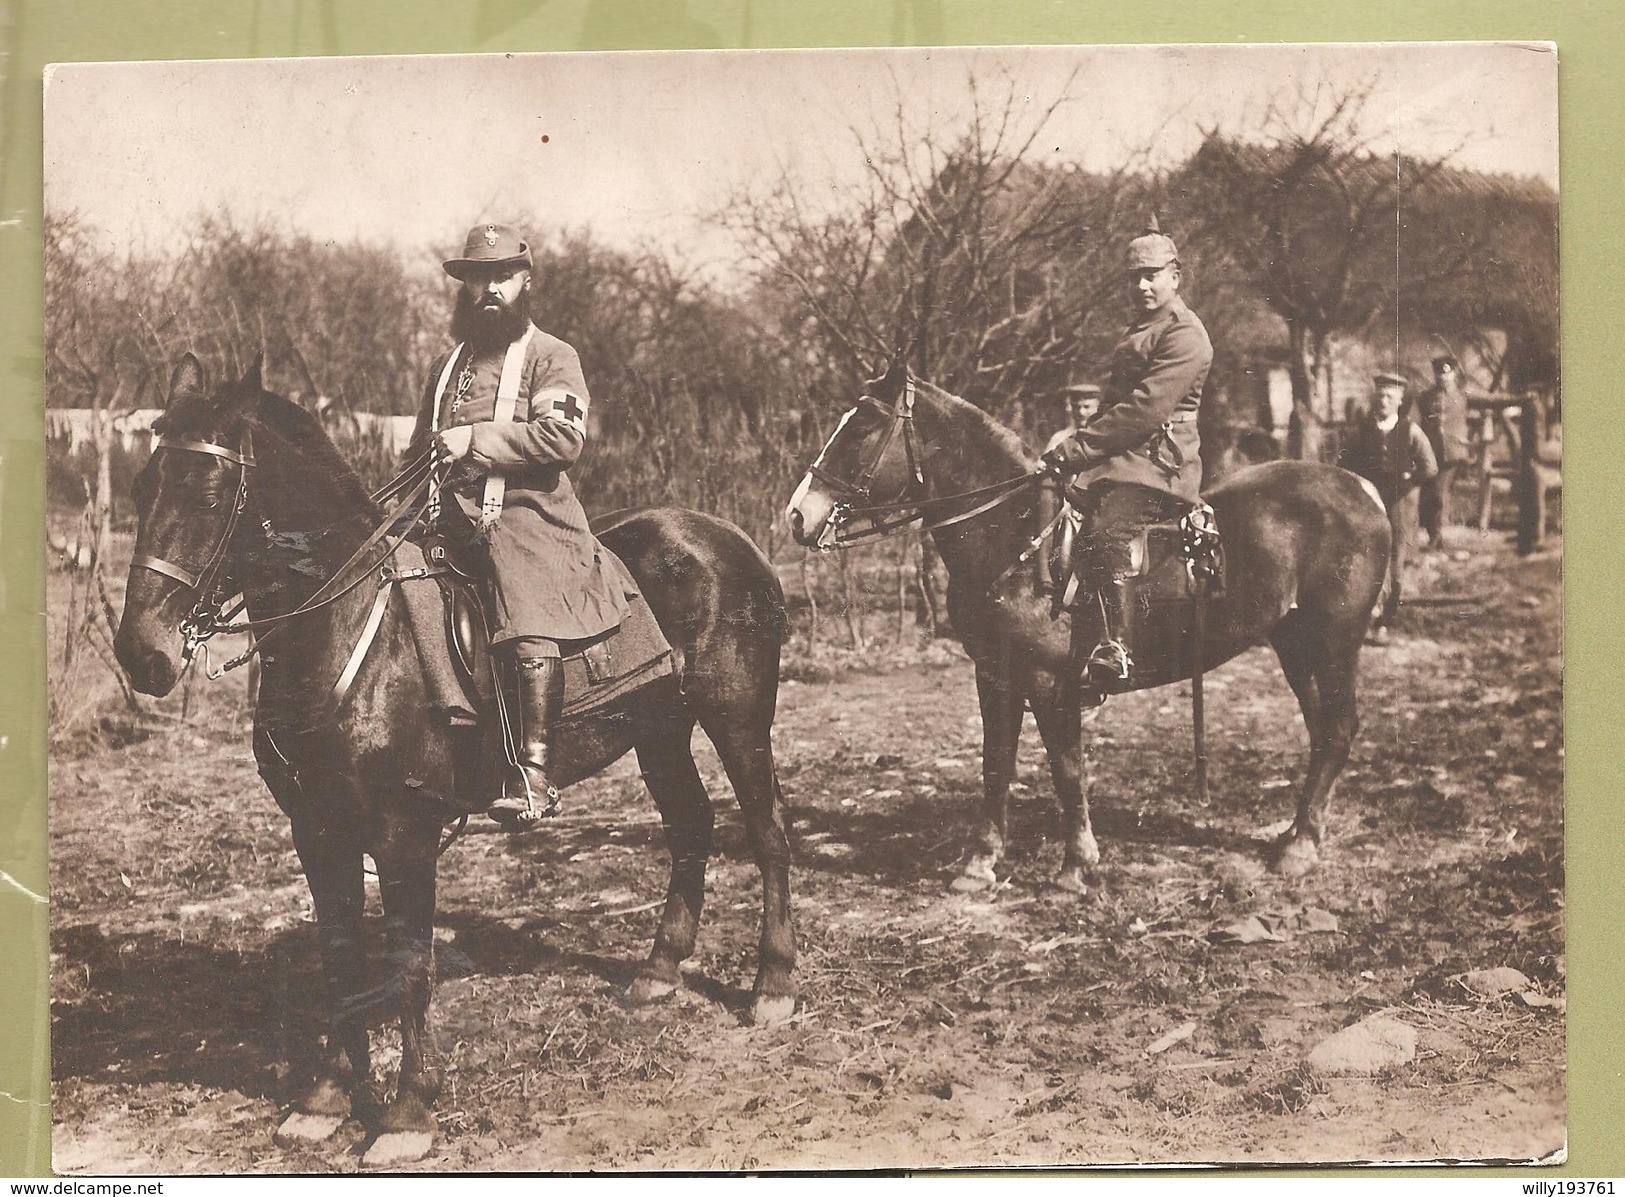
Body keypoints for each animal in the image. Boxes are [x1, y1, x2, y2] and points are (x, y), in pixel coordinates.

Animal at [114, 357, 799, 1169]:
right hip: (659, 731)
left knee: (767, 834)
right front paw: (323, 1099)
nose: (141, 654)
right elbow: (340, 956)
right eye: (142, 486)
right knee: (691, 826)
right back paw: (658, 972)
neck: (346, 633)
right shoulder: (318, 831)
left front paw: (408, 1112)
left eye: (210, 493)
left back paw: (772, 984)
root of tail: (724, 535)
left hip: (738, 720)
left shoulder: (403, 832)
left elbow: (410, 963)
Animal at [783, 363, 1384, 896]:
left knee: (1338, 727)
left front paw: (1076, 868)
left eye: (862, 427)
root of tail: (1361, 487)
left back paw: (1299, 847)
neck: (1017, 538)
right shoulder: (994, 676)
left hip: (1333, 643)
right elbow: (995, 765)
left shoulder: (1051, 684)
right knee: (1324, 730)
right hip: (1295, 643)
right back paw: (1299, 833)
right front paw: (979, 865)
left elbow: (1067, 769)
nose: (797, 515)